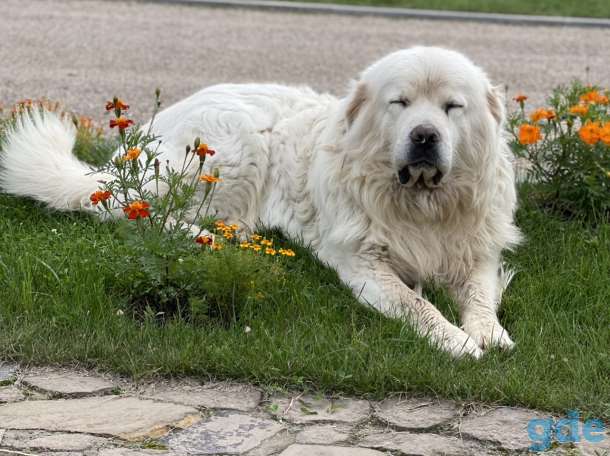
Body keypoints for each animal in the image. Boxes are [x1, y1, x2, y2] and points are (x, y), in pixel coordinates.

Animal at [2, 47, 520, 360]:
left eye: (453, 107)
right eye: (401, 103)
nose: (425, 135)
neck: (421, 204)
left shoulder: (475, 252)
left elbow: (480, 296)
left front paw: (489, 334)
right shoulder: (363, 264)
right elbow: (417, 305)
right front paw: (458, 343)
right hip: (236, 144)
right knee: (131, 209)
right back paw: (210, 238)